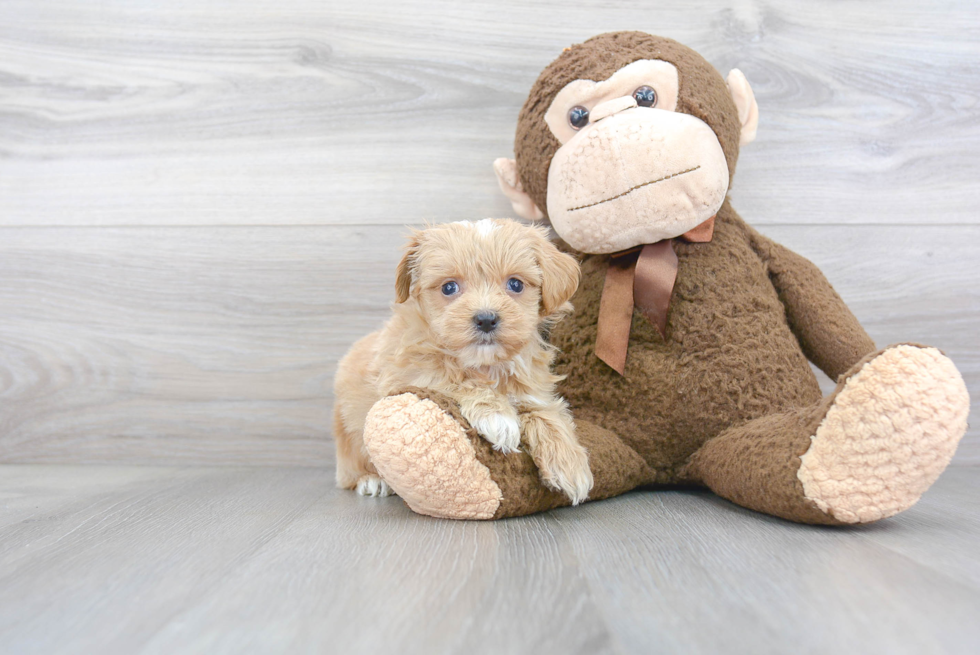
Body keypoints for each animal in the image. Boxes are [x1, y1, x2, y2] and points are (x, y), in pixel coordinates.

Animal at [334, 218, 592, 504]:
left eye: (515, 284)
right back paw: (372, 479)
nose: (486, 319)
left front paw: (569, 463)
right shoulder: (408, 375)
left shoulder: (532, 390)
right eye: (449, 287)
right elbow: (454, 379)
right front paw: (497, 415)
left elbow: (545, 413)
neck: (486, 364)